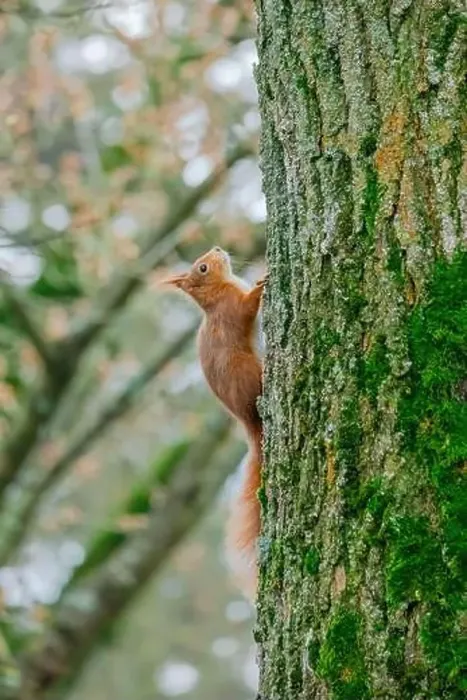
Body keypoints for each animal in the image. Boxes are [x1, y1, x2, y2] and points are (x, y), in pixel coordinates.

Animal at [164, 246, 266, 598]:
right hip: (249, 372)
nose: (218, 249)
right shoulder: (232, 309)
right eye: (203, 268)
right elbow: (247, 308)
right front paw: (263, 284)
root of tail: (249, 422)